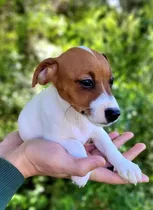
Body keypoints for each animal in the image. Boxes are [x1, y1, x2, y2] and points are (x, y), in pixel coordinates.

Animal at [18, 46, 142, 187]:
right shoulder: (54, 138)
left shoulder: (98, 132)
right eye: (87, 82)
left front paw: (126, 165)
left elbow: (110, 147)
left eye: (111, 81)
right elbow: (76, 143)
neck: (76, 118)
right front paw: (81, 174)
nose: (115, 114)